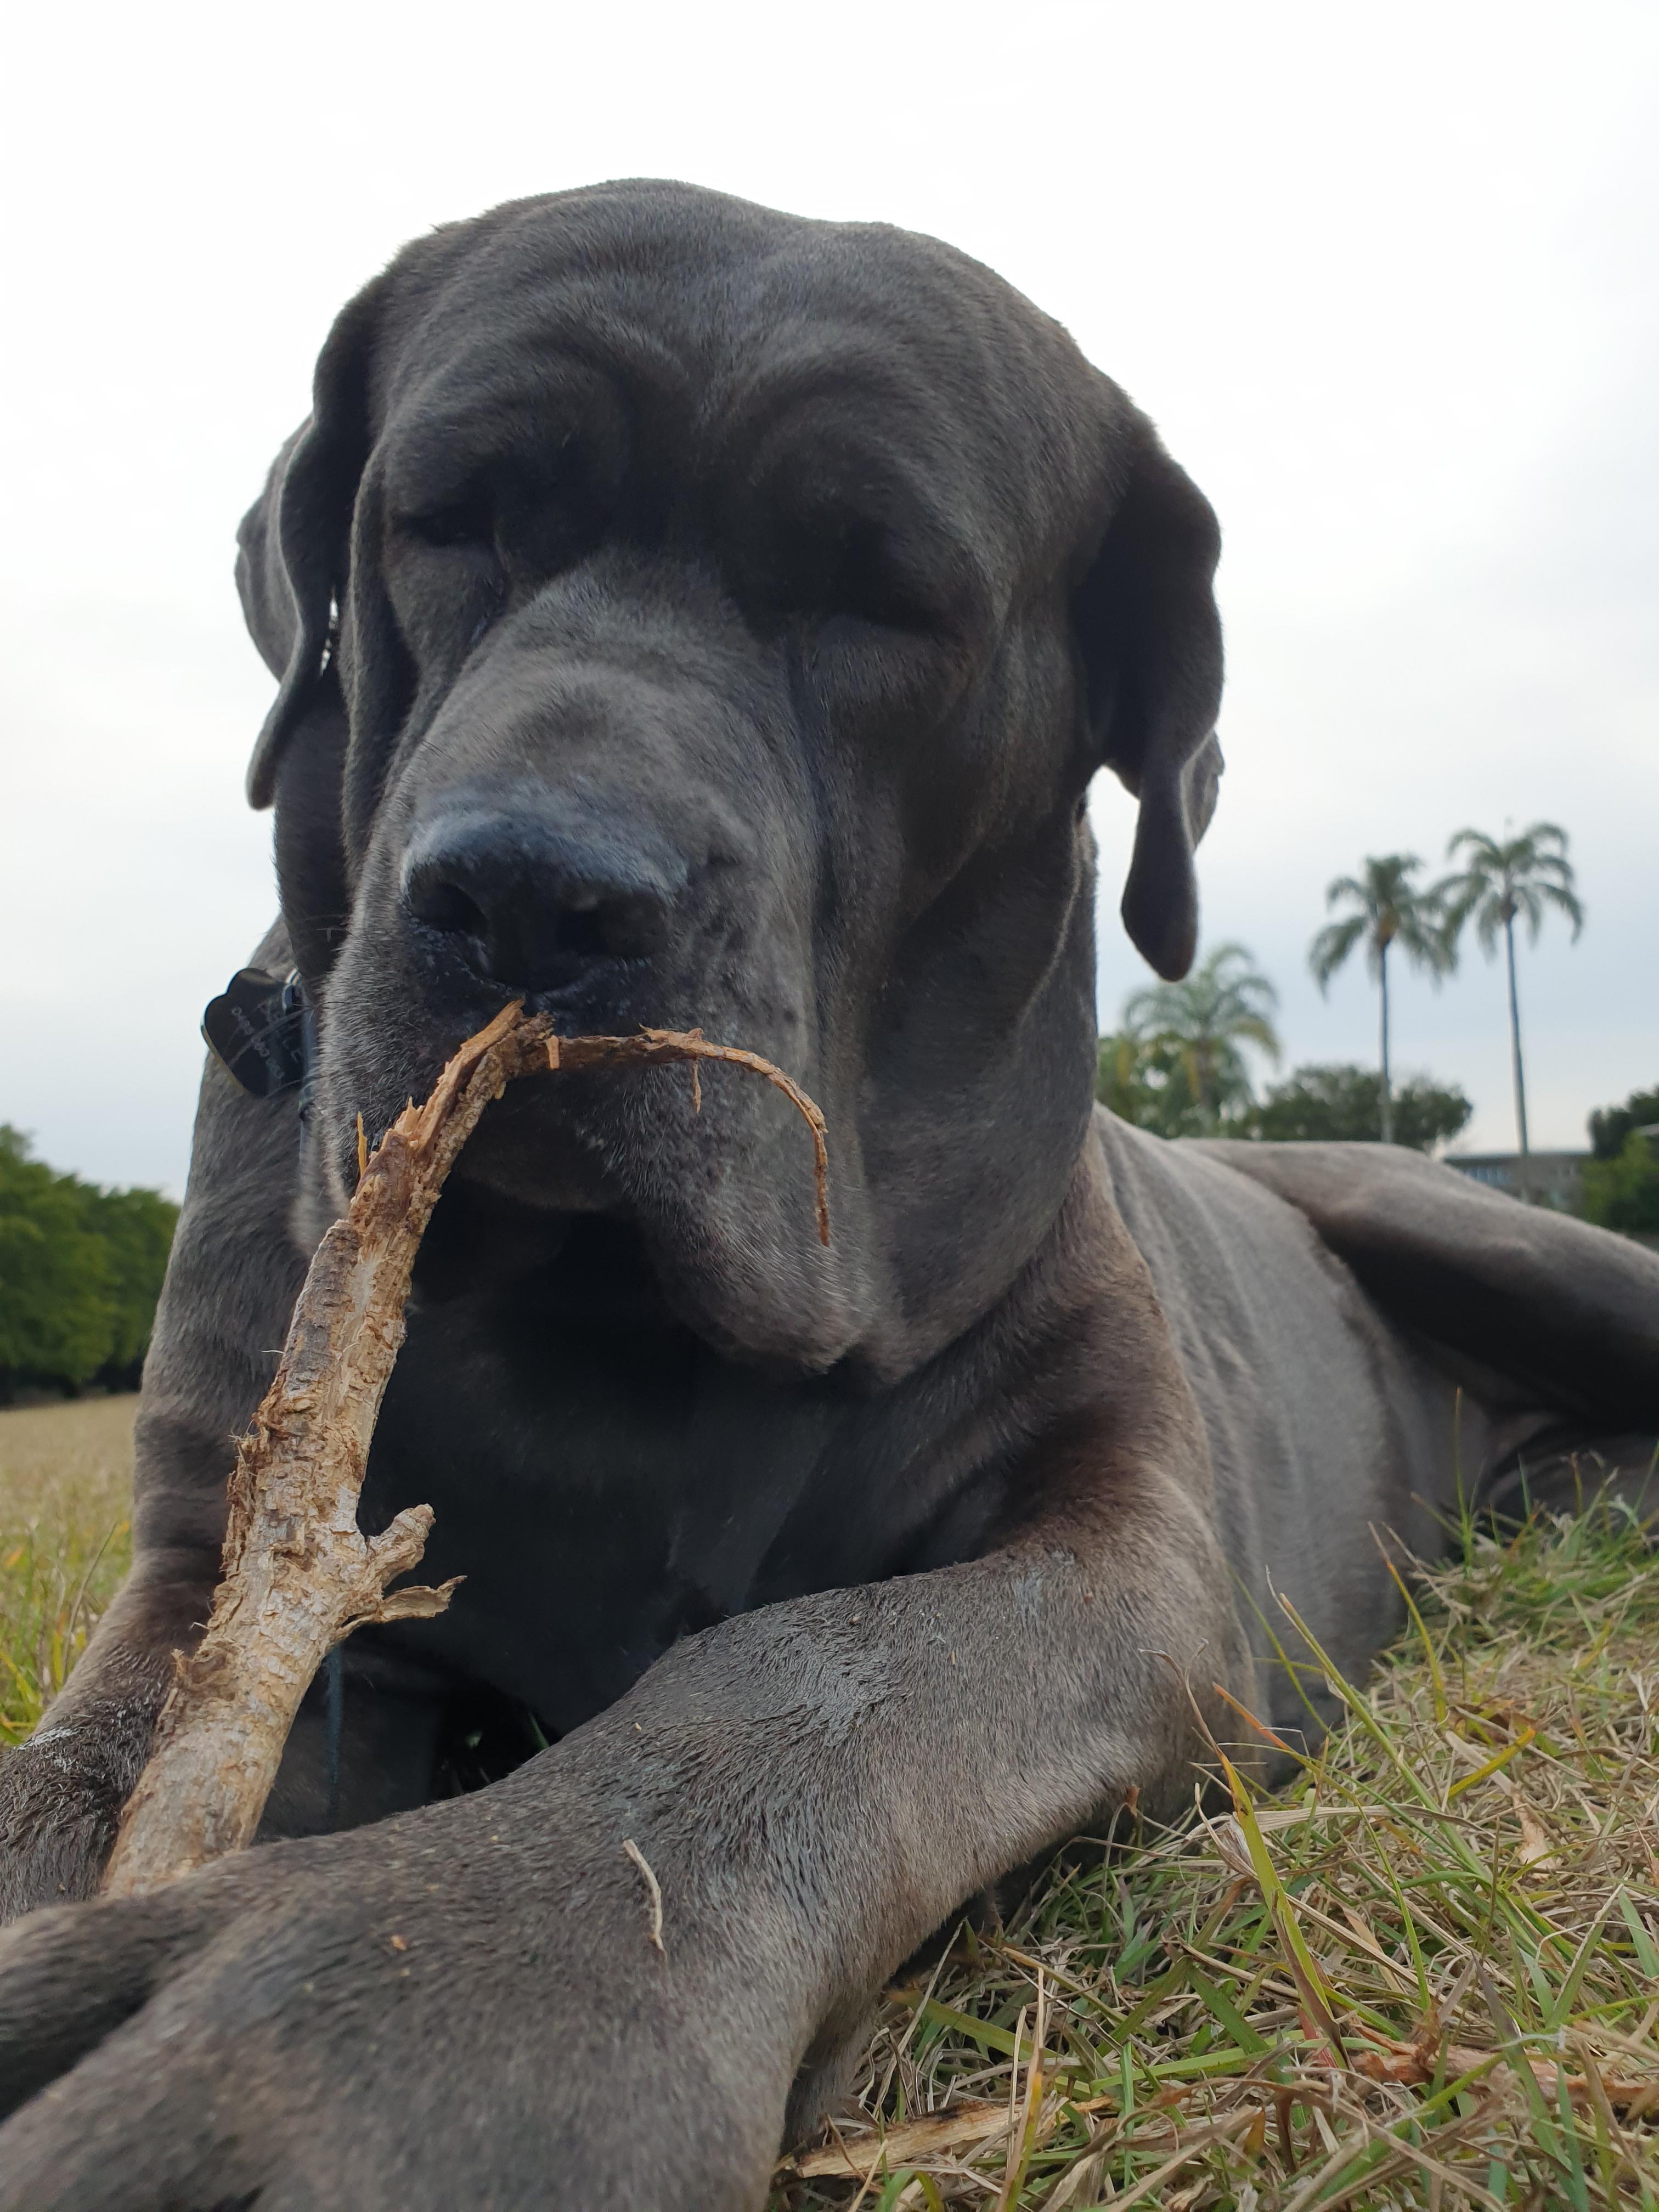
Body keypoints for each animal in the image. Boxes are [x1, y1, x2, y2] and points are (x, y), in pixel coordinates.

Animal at [0, 181, 1654, 2203]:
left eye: (880, 597)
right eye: (454, 516)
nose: (531, 890)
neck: (604, 1330)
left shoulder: (1132, 1553)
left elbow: (800, 1675)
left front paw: (408, 2020)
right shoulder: (209, 1567)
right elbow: (76, 1775)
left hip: (1496, 1233)